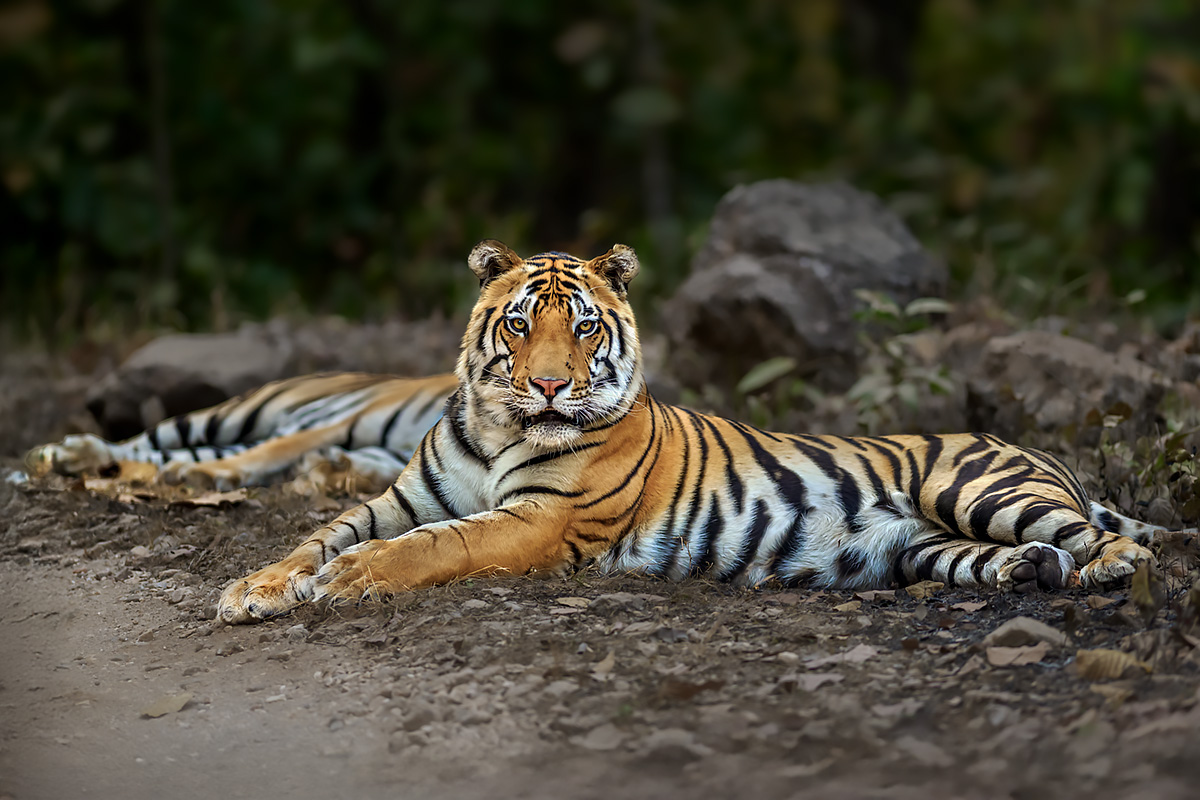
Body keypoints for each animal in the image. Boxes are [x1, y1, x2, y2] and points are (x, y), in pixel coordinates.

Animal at [26, 372, 457, 491]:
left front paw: (332, 469)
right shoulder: (342, 423)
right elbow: (273, 452)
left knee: (159, 456)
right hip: (232, 414)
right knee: (139, 442)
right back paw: (56, 455)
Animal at [212, 240, 1160, 624]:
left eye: (582, 327)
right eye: (519, 324)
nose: (549, 384)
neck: (494, 425)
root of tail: (1038, 452)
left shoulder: (544, 519)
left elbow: (442, 543)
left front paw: (354, 577)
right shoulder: (400, 496)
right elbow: (316, 535)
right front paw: (254, 589)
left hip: (973, 485)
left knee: (1128, 546)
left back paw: (1099, 574)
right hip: (926, 547)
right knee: (1008, 556)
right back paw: (1029, 573)